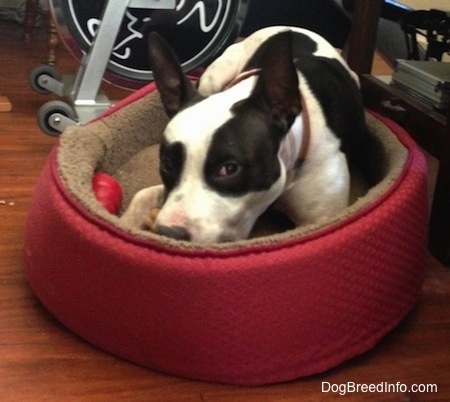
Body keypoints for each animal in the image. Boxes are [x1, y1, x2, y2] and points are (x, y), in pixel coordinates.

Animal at [120, 27, 384, 245]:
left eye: (229, 168)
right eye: (167, 163)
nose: (170, 233)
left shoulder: (322, 219)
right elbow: (143, 194)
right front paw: (125, 223)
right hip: (214, 75)